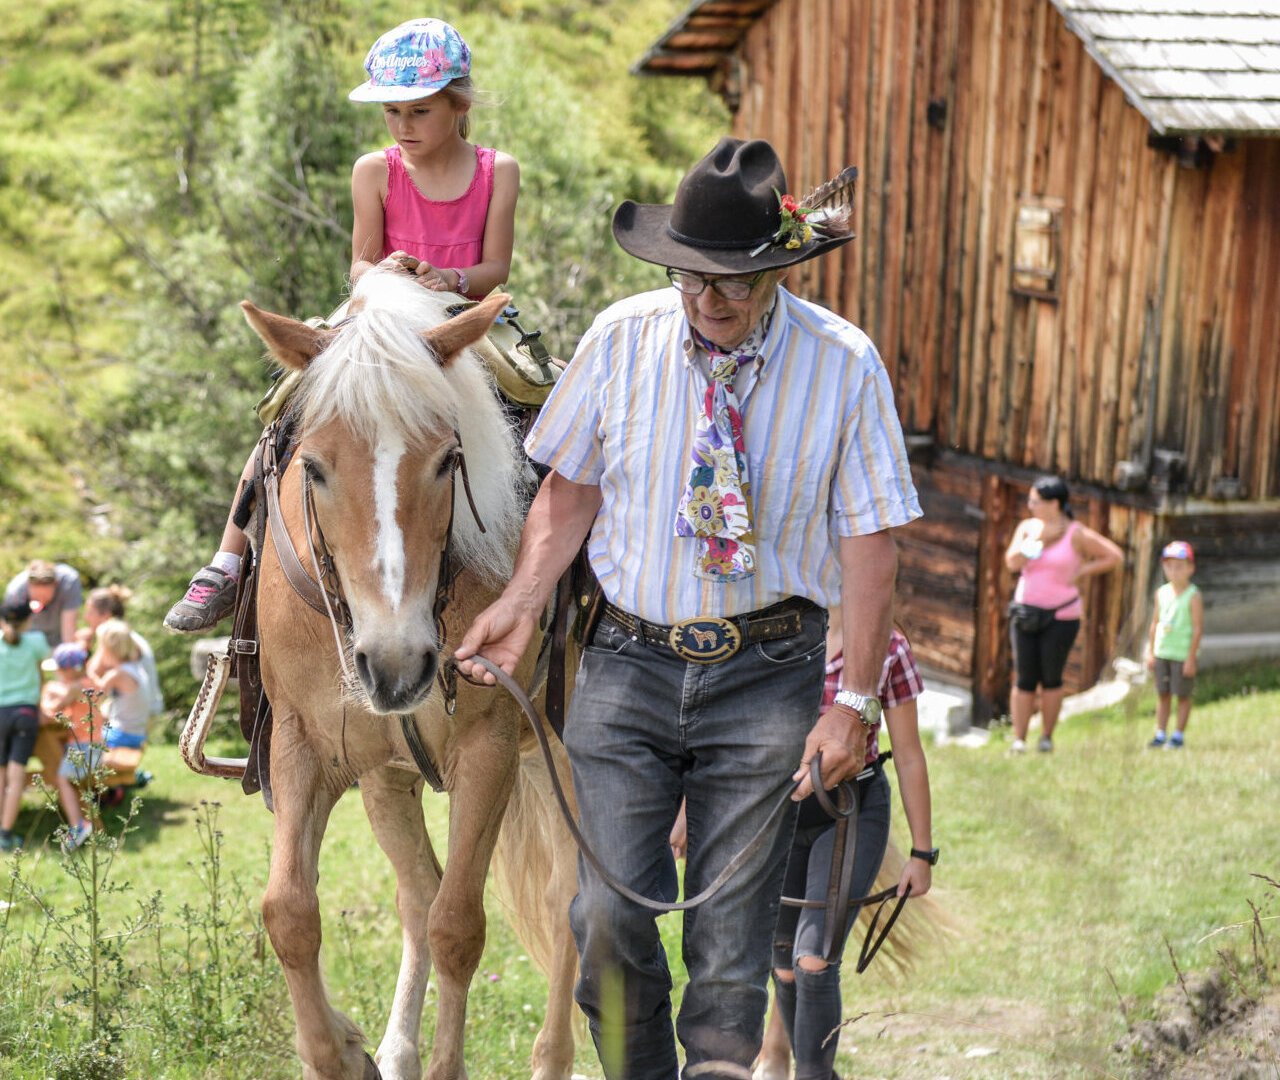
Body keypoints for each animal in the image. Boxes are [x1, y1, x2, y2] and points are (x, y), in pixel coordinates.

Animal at [232, 270, 580, 1080]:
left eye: (449, 460)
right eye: (314, 466)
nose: (395, 664)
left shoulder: (487, 751)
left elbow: (458, 925)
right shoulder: (306, 745)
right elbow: (288, 912)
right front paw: (338, 1050)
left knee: (566, 903)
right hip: (390, 779)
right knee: (417, 894)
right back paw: (395, 1049)